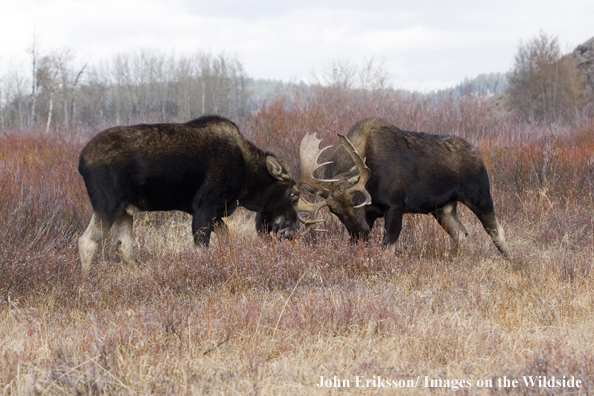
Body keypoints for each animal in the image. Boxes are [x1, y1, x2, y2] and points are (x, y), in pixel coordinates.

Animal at [77, 114, 300, 272]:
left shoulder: (214, 211)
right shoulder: (204, 206)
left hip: (124, 211)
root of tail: (81, 163)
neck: (246, 180)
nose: (292, 231)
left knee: (123, 245)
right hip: (107, 206)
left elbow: (225, 236)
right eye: (293, 195)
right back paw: (85, 283)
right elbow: (202, 247)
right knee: (87, 241)